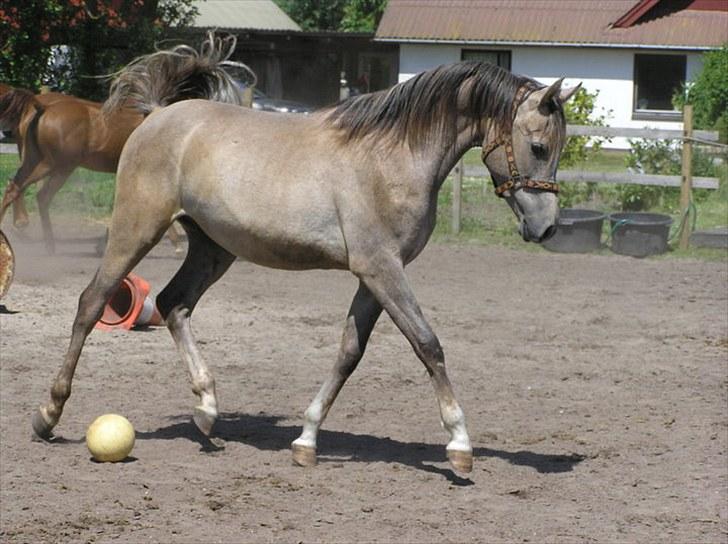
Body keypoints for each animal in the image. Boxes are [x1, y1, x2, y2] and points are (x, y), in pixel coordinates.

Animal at [32, 36, 580, 474]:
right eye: (537, 146)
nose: (546, 226)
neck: (392, 157)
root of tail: (157, 114)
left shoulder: (374, 276)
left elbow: (349, 353)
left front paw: (307, 438)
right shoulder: (381, 268)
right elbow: (428, 344)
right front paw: (460, 445)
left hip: (213, 249)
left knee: (173, 304)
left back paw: (207, 411)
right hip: (137, 228)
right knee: (91, 302)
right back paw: (48, 415)